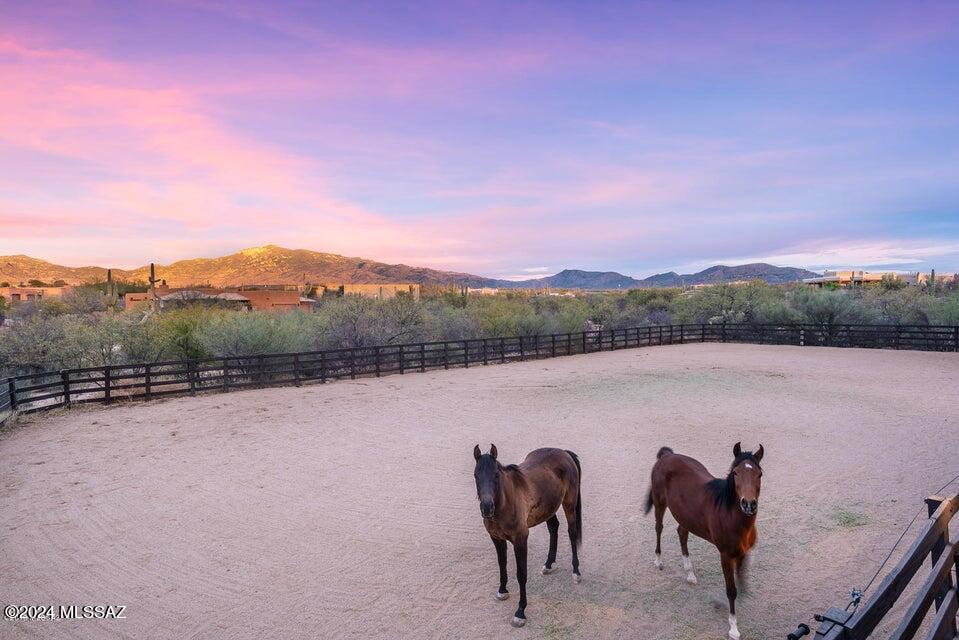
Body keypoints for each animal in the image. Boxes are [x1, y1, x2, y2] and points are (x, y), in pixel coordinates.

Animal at [472, 444, 583, 627]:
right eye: (475, 475)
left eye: (496, 475)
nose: (487, 508)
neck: (505, 503)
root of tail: (563, 452)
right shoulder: (497, 539)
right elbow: (502, 565)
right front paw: (502, 590)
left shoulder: (520, 541)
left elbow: (521, 574)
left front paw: (520, 612)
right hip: (548, 508)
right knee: (554, 528)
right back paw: (548, 564)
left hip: (569, 504)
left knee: (572, 533)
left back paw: (576, 572)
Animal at [644, 442, 764, 640]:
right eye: (735, 473)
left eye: (759, 474)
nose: (748, 504)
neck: (729, 514)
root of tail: (667, 455)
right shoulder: (725, 556)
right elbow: (731, 590)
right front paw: (733, 627)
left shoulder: (742, 552)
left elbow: (740, 581)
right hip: (660, 502)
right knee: (658, 528)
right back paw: (658, 561)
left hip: (685, 516)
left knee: (682, 533)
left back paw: (690, 574)